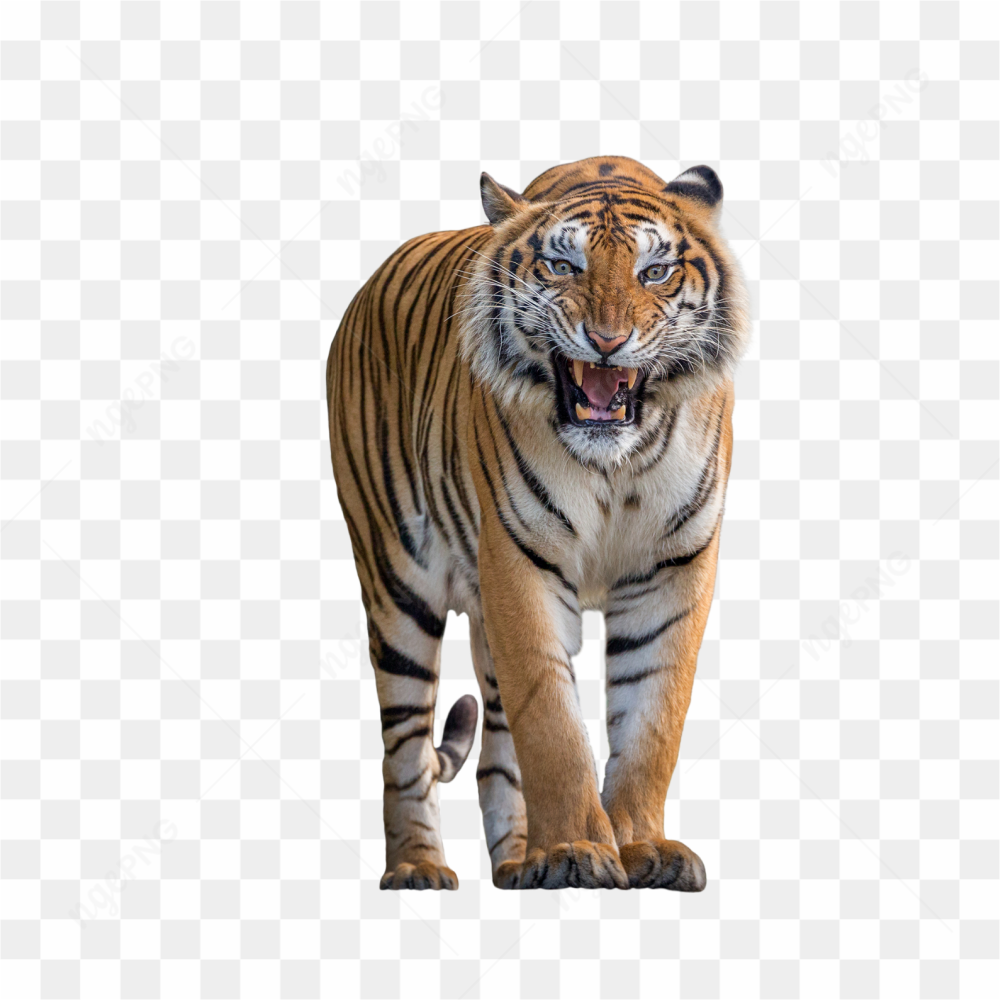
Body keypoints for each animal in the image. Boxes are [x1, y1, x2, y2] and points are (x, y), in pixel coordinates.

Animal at [326, 156, 750, 891]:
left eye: (654, 272)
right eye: (561, 266)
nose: (607, 342)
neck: (618, 465)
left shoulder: (672, 571)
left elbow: (651, 721)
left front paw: (642, 847)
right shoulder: (519, 564)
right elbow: (552, 726)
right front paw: (577, 850)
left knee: (496, 753)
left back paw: (518, 862)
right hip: (395, 583)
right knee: (403, 750)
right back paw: (418, 866)